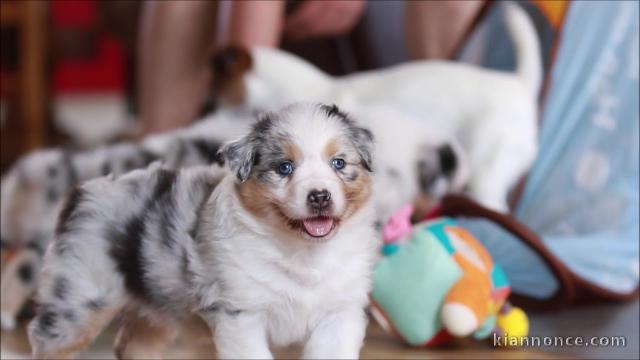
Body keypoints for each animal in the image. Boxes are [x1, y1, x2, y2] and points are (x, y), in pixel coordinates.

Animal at [27, 102, 382, 358]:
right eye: (284, 168)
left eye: (338, 163)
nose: (320, 196)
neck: (302, 251)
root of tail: (80, 193)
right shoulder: (240, 313)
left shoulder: (339, 313)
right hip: (79, 298)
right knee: (48, 341)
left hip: (155, 305)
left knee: (131, 344)